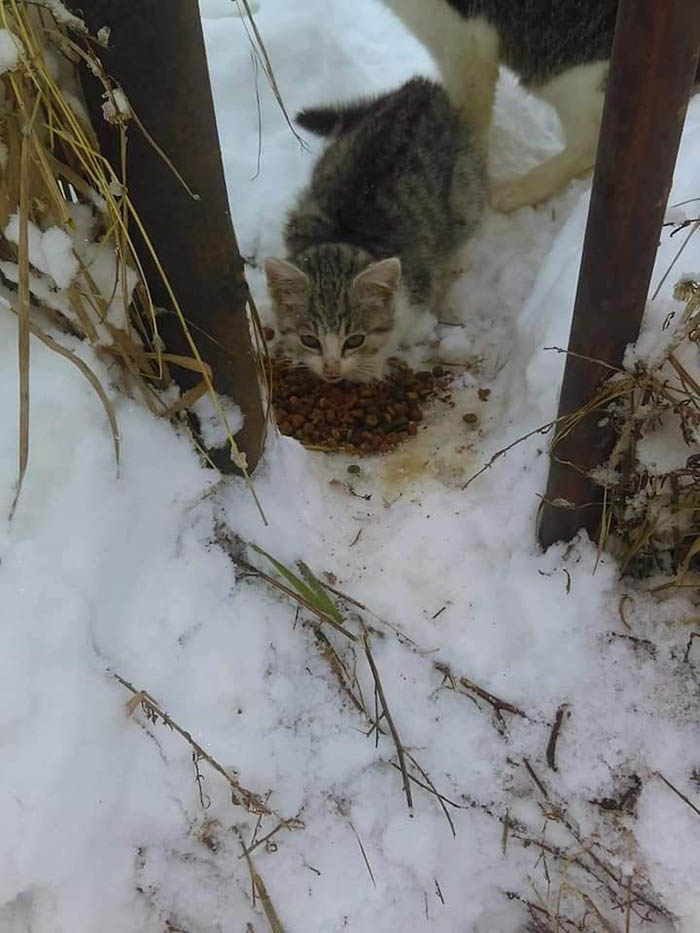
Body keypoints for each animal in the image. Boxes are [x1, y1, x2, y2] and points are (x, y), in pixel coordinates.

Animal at [266, 77, 484, 382]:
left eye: (354, 340)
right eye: (309, 340)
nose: (331, 369)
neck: (345, 235)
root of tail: (421, 88)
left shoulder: (417, 284)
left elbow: (400, 328)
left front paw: (370, 367)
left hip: (465, 191)